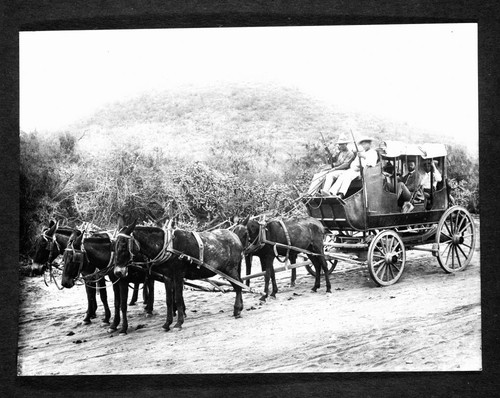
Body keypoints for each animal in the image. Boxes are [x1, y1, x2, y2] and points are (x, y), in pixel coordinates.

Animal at [115, 222, 244, 332]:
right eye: (114, 245)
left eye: (123, 245)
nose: (117, 272)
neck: (167, 246)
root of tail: (235, 236)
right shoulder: (167, 277)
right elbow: (169, 300)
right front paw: (167, 323)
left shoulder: (178, 275)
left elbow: (178, 298)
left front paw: (178, 323)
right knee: (239, 285)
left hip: (230, 270)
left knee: (238, 287)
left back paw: (237, 309)